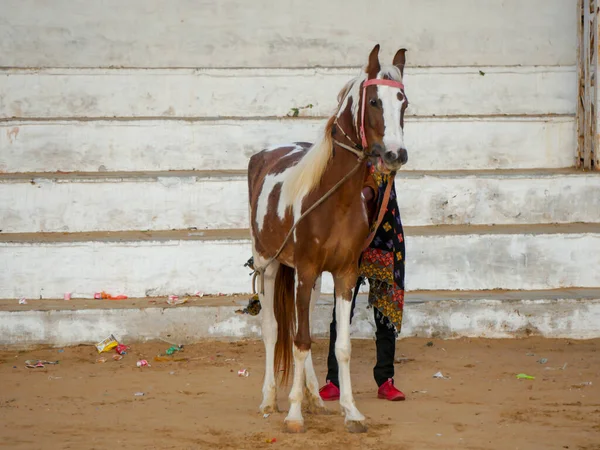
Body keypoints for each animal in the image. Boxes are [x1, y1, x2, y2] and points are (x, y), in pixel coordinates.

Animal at [247, 44, 408, 432]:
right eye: (374, 102)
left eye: (404, 103)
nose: (395, 154)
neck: (336, 200)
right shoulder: (303, 270)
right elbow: (299, 340)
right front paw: (293, 415)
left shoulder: (344, 274)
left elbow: (340, 346)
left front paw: (350, 411)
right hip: (268, 264)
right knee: (273, 329)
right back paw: (269, 399)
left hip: (312, 278)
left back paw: (314, 399)